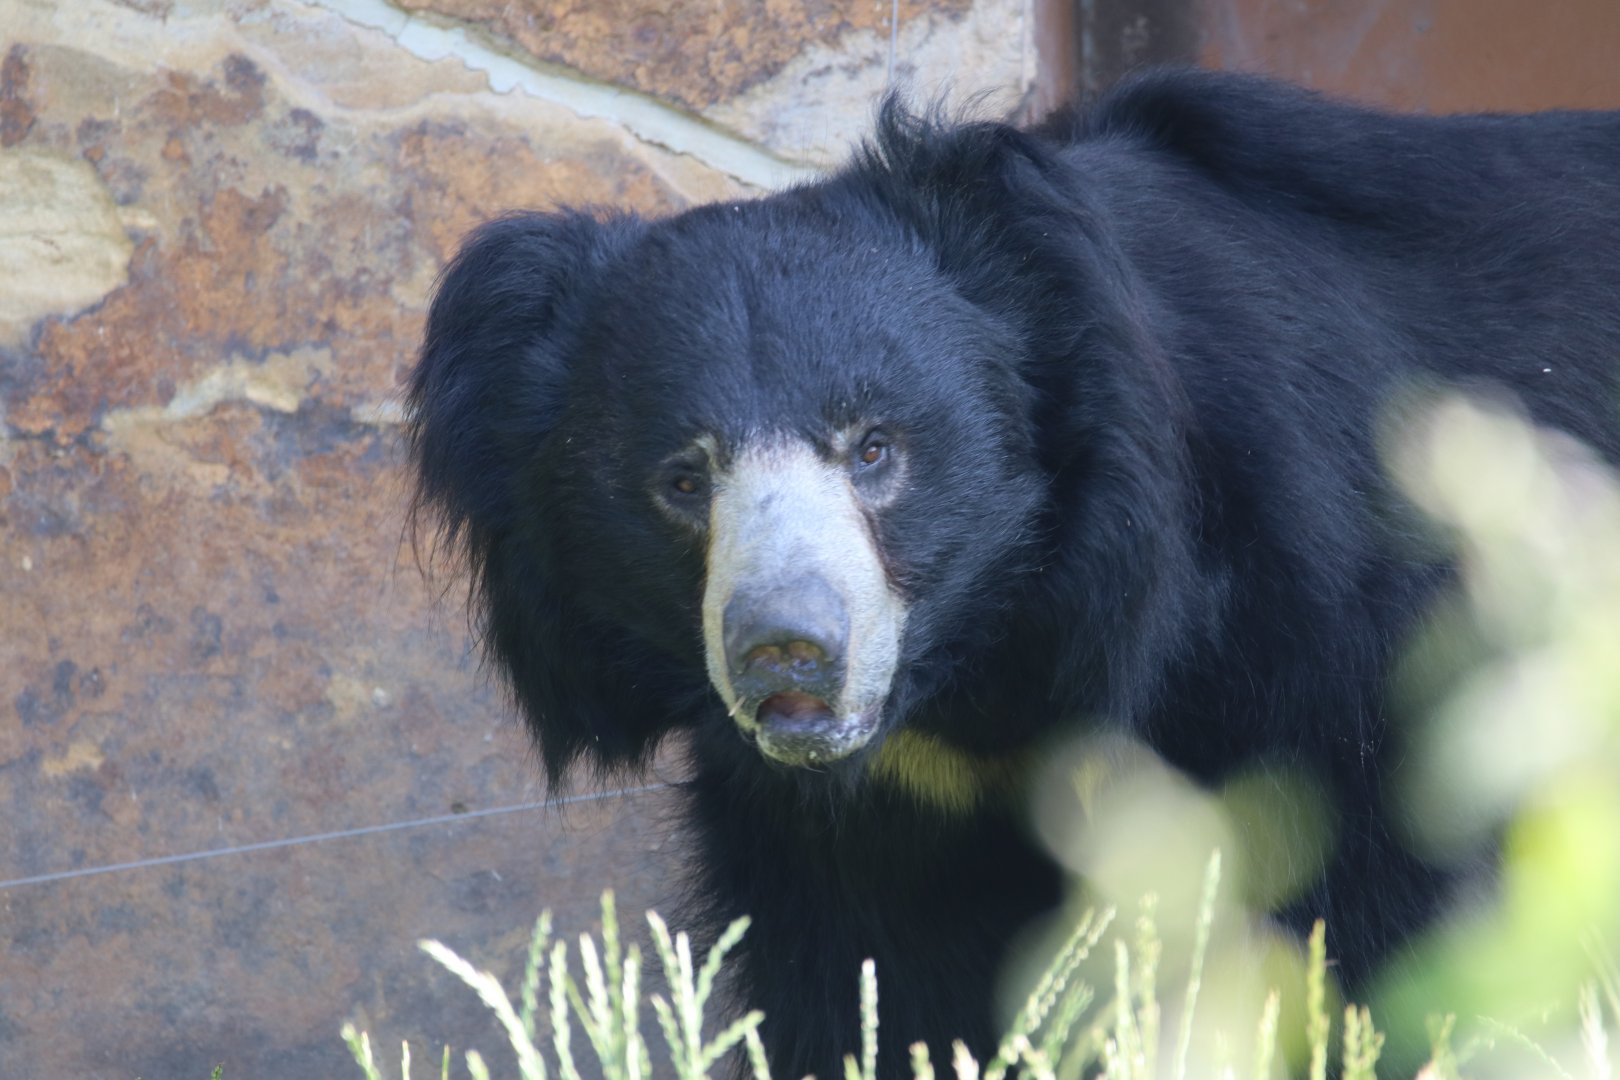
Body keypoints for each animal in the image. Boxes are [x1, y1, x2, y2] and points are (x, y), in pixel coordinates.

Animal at [406, 69, 1620, 1079]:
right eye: (683, 479)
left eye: (875, 449)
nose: (786, 649)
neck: (977, 670)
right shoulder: (869, 825)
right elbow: (873, 994)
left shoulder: (1346, 649)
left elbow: (1388, 936)